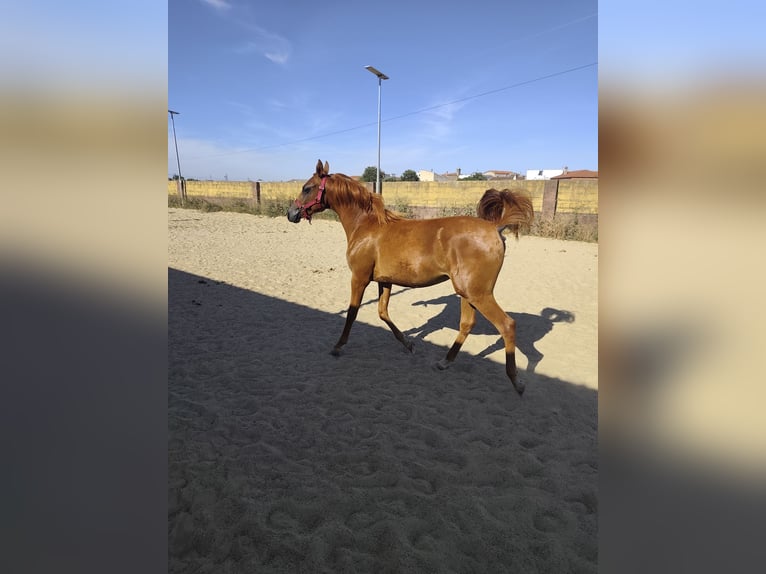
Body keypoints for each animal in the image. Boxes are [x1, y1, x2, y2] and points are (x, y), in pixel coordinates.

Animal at [287, 160, 534, 395]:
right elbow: (383, 313)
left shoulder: (359, 278)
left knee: (507, 325)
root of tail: (494, 227)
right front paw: (409, 344)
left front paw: (338, 346)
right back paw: (444, 362)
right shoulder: (385, 281)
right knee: (467, 324)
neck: (366, 227)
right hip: (467, 292)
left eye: (307, 188)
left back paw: (517, 382)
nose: (291, 213)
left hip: (479, 293)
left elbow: (352, 313)